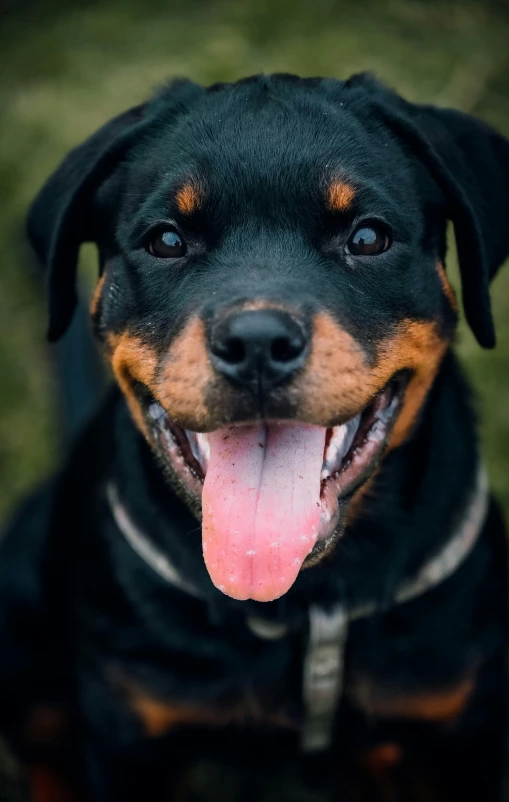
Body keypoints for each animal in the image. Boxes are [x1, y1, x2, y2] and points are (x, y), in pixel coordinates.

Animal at [0, 72, 508, 796]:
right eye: (165, 241)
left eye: (368, 238)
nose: (258, 341)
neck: (301, 599)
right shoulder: (129, 730)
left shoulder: (458, 723)